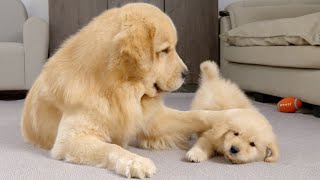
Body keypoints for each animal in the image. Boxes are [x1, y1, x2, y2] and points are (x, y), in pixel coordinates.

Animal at [20, 2, 230, 179]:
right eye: (164, 50)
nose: (186, 73)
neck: (116, 89)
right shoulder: (71, 140)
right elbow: (112, 148)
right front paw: (136, 162)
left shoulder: (151, 118)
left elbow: (196, 115)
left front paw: (231, 116)